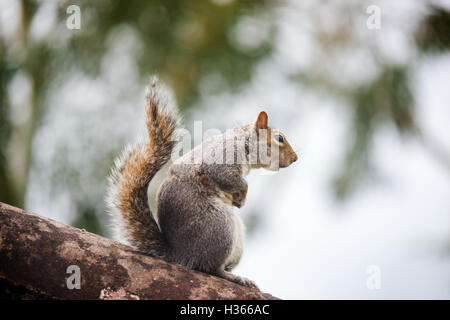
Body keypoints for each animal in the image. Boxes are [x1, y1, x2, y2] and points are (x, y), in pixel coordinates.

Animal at [103, 78, 298, 288]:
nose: (295, 158)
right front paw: (242, 196)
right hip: (219, 227)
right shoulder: (222, 158)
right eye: (279, 138)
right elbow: (228, 177)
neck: (242, 141)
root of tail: (180, 254)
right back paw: (233, 277)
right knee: (210, 267)